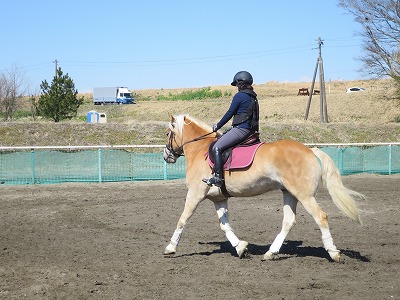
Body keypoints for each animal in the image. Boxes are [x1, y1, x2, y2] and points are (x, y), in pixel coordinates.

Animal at [162, 113, 366, 262]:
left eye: (167, 133)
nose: (166, 156)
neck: (200, 150)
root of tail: (311, 150)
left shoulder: (195, 194)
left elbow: (183, 219)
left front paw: (171, 248)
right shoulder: (219, 198)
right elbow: (225, 226)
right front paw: (241, 248)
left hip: (305, 195)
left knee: (321, 217)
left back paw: (333, 252)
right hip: (289, 193)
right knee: (288, 221)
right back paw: (270, 253)